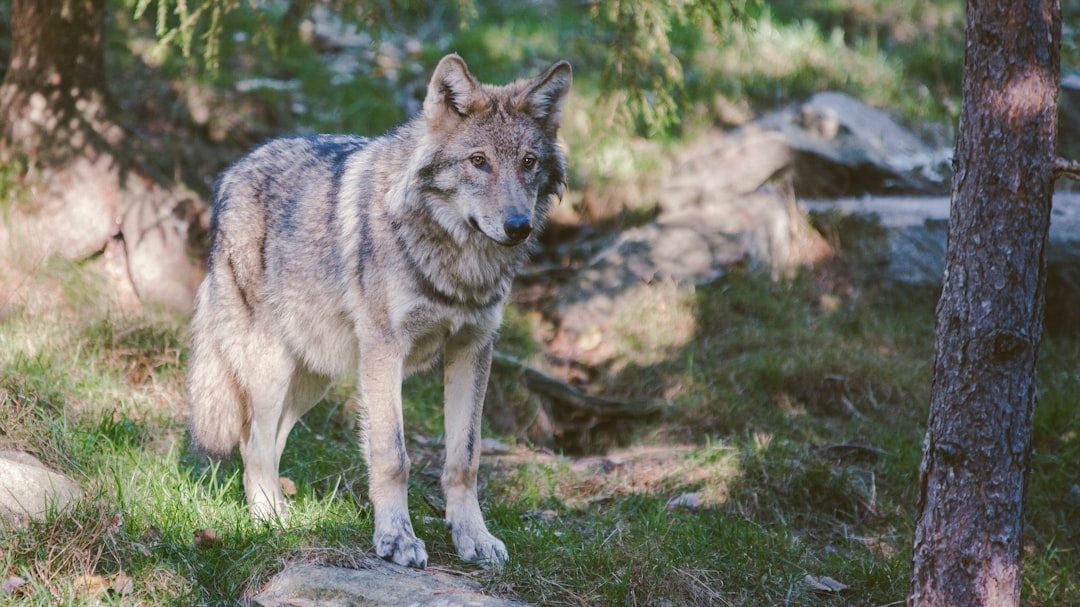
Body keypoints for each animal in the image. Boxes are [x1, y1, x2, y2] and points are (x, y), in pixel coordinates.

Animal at [185, 54, 571, 568]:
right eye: (478, 161)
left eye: (528, 162)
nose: (518, 226)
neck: (458, 264)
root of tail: (231, 173)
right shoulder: (387, 351)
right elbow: (393, 456)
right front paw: (396, 539)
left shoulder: (473, 348)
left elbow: (464, 459)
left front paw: (473, 537)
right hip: (271, 368)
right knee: (253, 444)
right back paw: (270, 521)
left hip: (315, 376)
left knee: (270, 441)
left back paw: (285, 513)